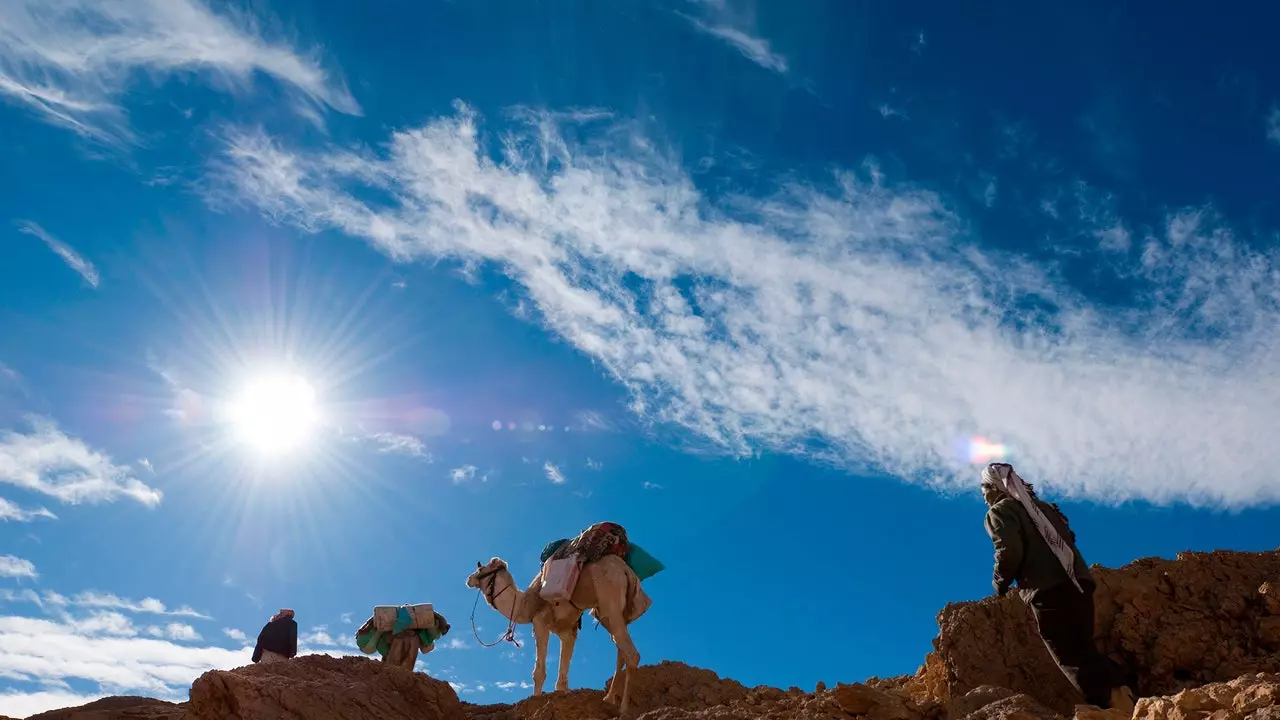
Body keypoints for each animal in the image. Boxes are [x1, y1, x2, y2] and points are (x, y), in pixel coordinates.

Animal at [468, 556, 645, 712]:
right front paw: (562, 691)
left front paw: (536, 699)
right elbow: (563, 669)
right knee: (620, 650)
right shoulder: (567, 631)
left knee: (631, 654)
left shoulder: (539, 622)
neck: (525, 604)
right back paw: (608, 699)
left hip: (610, 599)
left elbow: (538, 673)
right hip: (613, 612)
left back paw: (623, 709)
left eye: (481, 569)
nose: (469, 579)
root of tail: (625, 570)